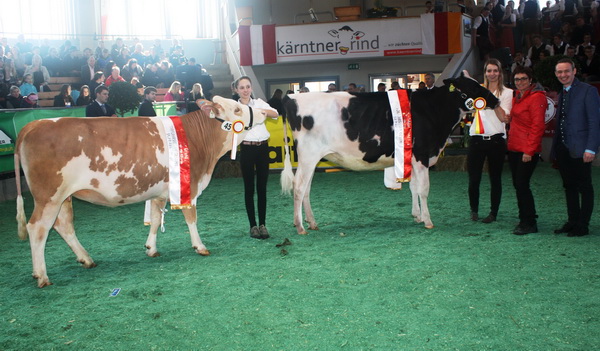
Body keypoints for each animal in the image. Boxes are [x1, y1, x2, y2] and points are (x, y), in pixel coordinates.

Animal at [15, 97, 268, 288]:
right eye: (237, 108)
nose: (263, 112)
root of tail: (33, 125)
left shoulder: (159, 192)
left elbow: (155, 219)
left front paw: (151, 249)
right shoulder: (190, 185)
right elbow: (191, 218)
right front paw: (200, 246)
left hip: (63, 197)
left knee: (63, 225)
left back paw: (86, 259)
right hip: (48, 196)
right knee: (37, 228)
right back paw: (42, 275)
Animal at [282, 73, 502, 235]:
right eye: (473, 87)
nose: (497, 100)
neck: (433, 111)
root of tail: (291, 98)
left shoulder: (412, 158)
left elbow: (414, 188)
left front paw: (417, 216)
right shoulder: (422, 155)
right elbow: (424, 189)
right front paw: (428, 221)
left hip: (312, 159)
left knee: (306, 189)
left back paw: (312, 223)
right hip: (308, 155)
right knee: (299, 187)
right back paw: (300, 226)